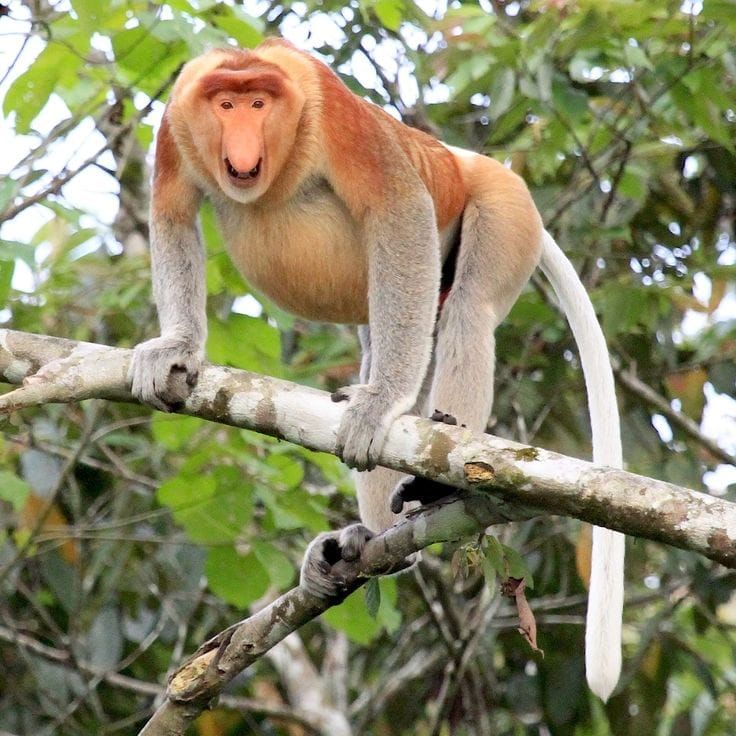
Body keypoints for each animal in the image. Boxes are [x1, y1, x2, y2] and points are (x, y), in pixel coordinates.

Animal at [128, 38, 624, 701]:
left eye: (260, 103)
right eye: (225, 103)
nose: (242, 139)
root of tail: (470, 161)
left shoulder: (337, 117)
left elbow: (399, 210)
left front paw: (382, 401)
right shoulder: (175, 127)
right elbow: (173, 215)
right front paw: (176, 349)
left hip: (504, 208)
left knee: (469, 309)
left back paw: (438, 487)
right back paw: (369, 542)